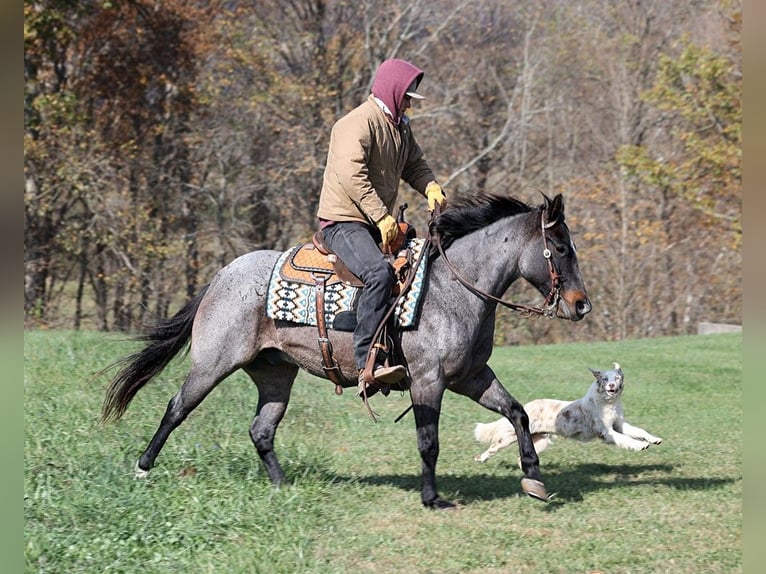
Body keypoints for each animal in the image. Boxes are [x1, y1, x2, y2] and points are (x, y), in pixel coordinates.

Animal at [102, 195, 592, 512]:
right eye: (560, 248)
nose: (581, 304)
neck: (451, 290)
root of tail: (222, 275)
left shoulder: (471, 377)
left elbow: (517, 412)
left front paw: (533, 476)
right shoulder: (428, 381)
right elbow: (428, 441)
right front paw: (432, 498)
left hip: (275, 375)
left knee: (261, 430)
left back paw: (282, 486)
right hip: (212, 365)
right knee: (176, 408)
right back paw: (143, 467)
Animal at [474, 366, 660, 466]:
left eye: (617, 377)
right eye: (605, 379)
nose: (612, 386)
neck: (608, 403)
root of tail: (527, 406)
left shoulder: (619, 424)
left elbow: (639, 431)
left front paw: (654, 439)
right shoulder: (607, 432)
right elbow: (626, 439)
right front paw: (640, 445)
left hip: (540, 441)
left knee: (520, 459)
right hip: (509, 438)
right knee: (493, 447)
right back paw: (480, 458)